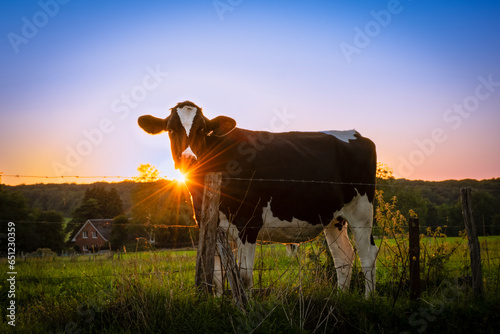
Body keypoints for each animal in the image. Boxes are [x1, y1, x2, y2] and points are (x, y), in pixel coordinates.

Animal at [138, 100, 378, 296]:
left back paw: (369, 298)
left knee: (367, 254)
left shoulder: (249, 223)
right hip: (334, 218)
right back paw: (339, 299)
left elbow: (244, 277)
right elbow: (217, 277)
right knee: (343, 258)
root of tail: (356, 133)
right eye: (171, 129)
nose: (188, 159)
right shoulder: (211, 225)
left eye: (202, 129)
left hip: (362, 212)